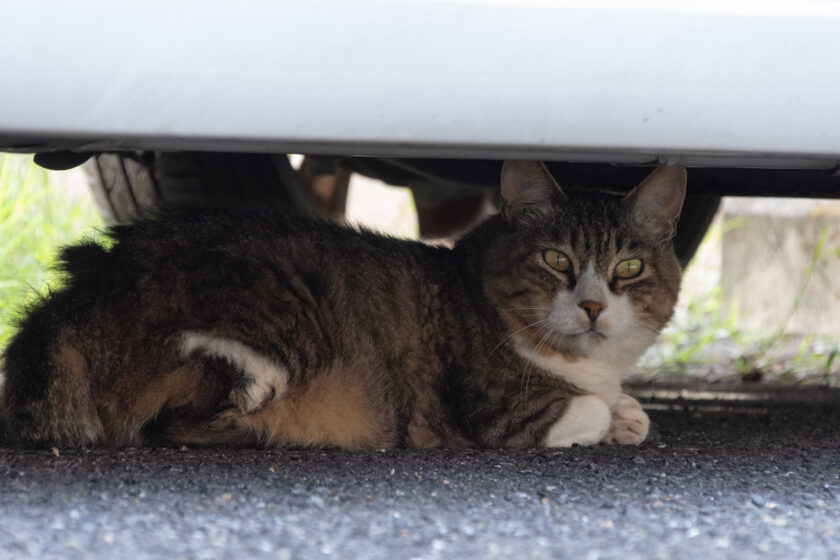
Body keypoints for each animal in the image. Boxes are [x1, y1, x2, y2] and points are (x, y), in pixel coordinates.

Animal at [0, 160, 684, 448]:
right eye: (557, 260)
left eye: (628, 269)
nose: (593, 306)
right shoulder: (498, 413)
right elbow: (587, 411)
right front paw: (610, 416)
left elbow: (628, 409)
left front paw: (627, 413)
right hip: (283, 317)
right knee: (177, 422)